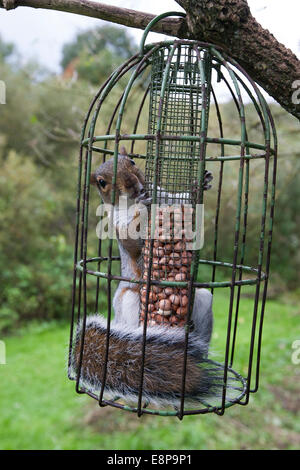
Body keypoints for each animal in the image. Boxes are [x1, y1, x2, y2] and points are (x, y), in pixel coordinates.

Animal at [71, 148, 217, 408]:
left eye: (131, 161)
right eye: (102, 182)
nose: (132, 184)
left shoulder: (162, 195)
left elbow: (178, 200)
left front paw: (199, 184)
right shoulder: (117, 223)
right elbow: (131, 238)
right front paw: (140, 205)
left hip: (202, 300)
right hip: (129, 301)